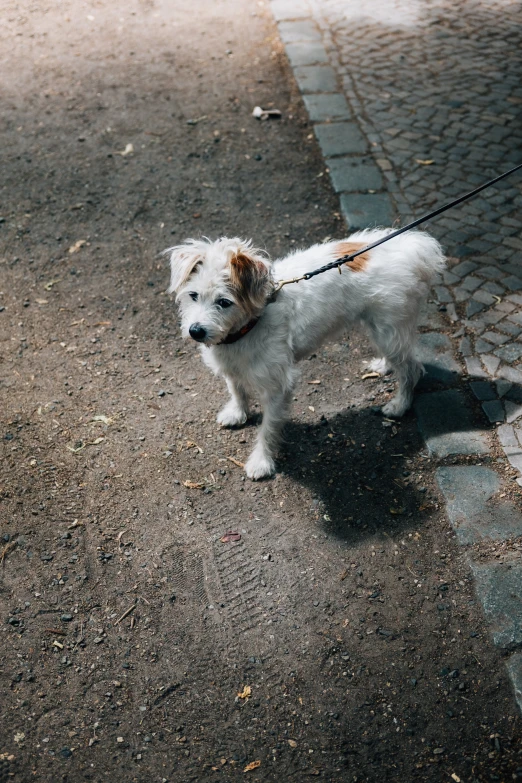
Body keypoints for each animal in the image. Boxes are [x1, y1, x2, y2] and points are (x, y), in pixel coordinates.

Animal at [167, 230, 442, 480]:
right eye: (193, 295)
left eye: (224, 302)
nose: (196, 331)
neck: (250, 325)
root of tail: (414, 247)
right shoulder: (232, 366)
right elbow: (237, 389)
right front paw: (237, 412)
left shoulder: (277, 387)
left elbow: (268, 428)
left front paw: (262, 461)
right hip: (380, 328)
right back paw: (384, 365)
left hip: (389, 329)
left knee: (411, 369)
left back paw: (399, 404)